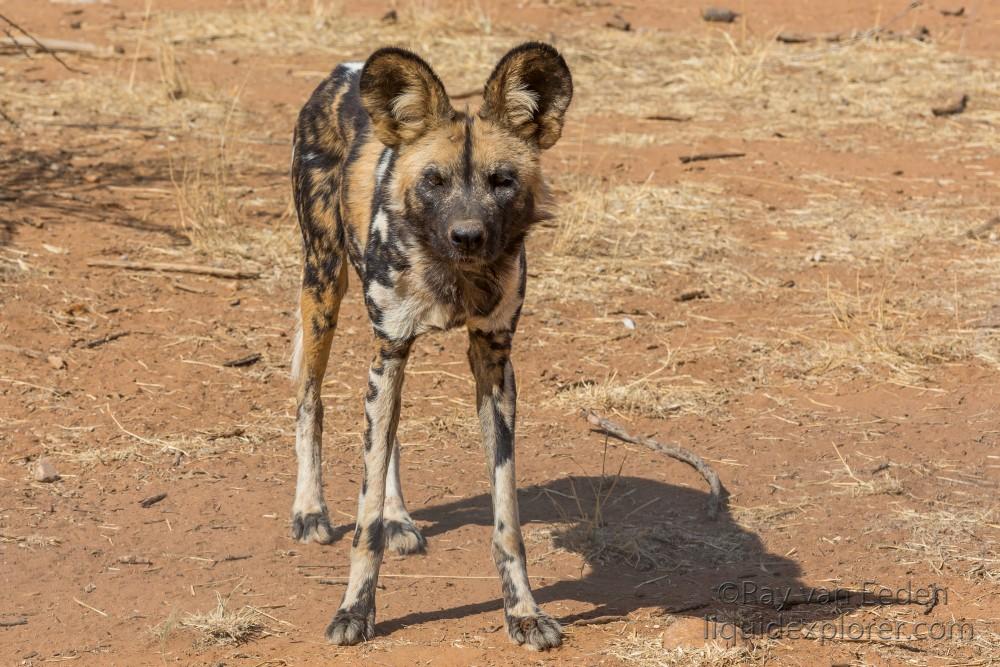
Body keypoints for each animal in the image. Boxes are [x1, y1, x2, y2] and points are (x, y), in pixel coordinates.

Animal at [288, 44, 572, 648]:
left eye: (501, 180)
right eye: (434, 181)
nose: (467, 236)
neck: (455, 276)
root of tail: (347, 68)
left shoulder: (492, 361)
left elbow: (507, 522)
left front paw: (523, 613)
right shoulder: (389, 345)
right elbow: (363, 521)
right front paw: (354, 610)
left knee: (386, 437)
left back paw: (398, 516)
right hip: (323, 286)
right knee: (310, 400)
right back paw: (311, 509)